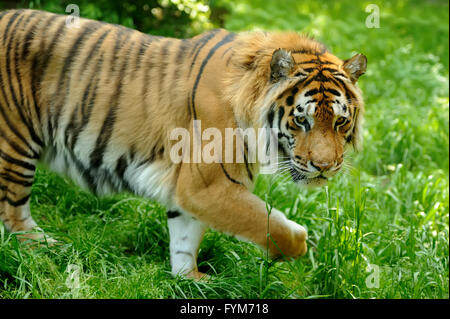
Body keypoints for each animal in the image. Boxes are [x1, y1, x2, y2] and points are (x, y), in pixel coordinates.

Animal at [0, 8, 366, 280]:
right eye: (302, 120)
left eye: (340, 121)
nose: (324, 167)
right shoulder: (206, 185)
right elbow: (272, 225)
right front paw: (296, 250)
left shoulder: (192, 188)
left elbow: (185, 236)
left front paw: (188, 278)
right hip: (15, 144)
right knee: (13, 211)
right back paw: (43, 248)